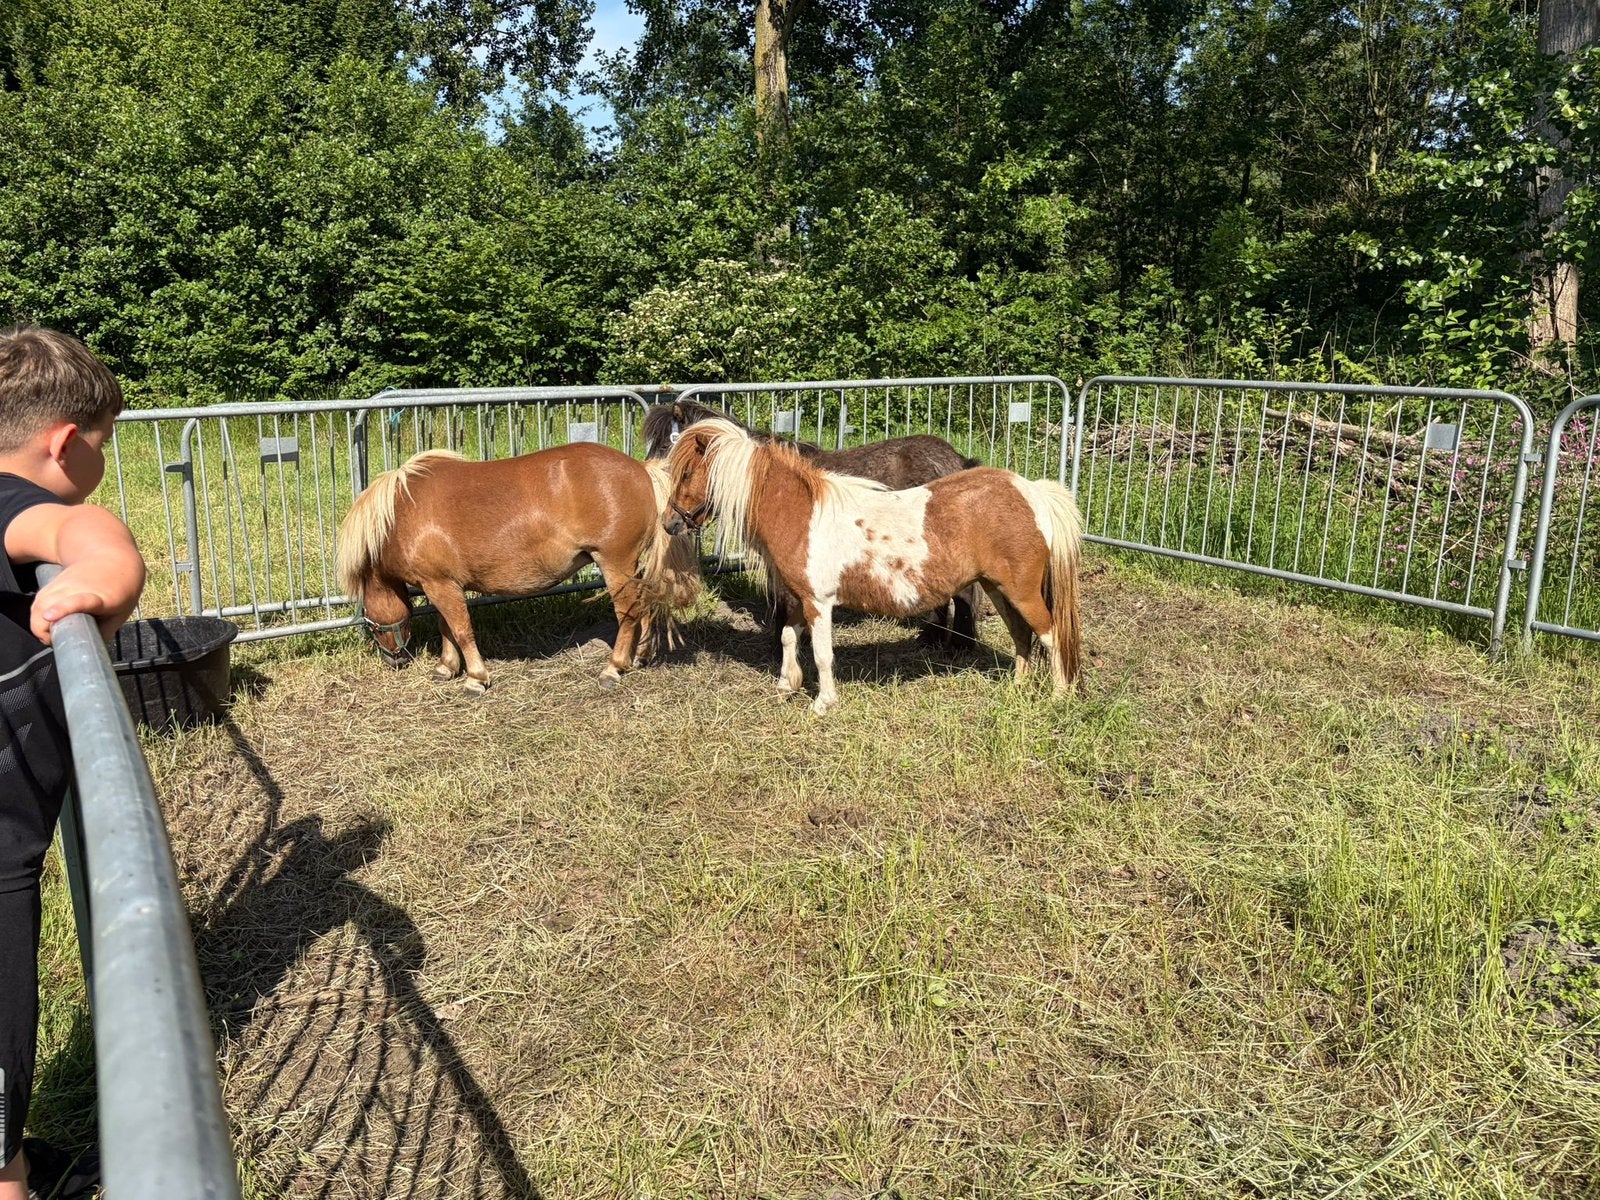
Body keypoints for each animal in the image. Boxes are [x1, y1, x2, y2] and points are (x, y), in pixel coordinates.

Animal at [336, 443, 701, 694]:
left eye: (369, 619)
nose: (393, 660)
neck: (402, 515)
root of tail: (640, 468)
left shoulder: (441, 585)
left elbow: (462, 630)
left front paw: (475, 678)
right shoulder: (440, 583)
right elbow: (446, 627)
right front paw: (446, 667)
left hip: (615, 563)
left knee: (628, 611)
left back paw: (614, 667)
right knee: (645, 605)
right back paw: (640, 655)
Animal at [662, 418, 1083, 714]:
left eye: (687, 474)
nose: (669, 524)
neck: (800, 512)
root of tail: (1029, 490)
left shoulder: (819, 603)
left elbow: (822, 654)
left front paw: (823, 703)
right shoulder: (798, 598)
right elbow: (787, 639)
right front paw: (785, 688)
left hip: (1022, 591)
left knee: (1050, 634)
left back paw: (1059, 697)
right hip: (999, 589)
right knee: (1021, 636)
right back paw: (1017, 688)